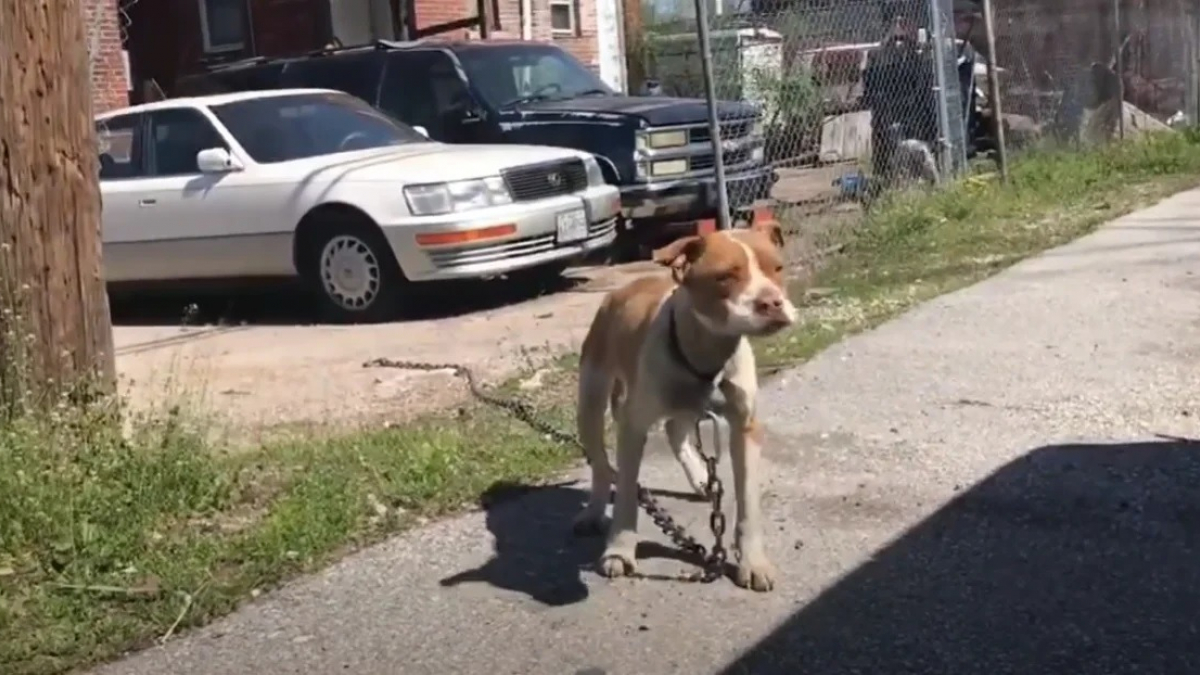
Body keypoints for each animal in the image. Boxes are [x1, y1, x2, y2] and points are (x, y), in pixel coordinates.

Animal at [571, 219, 796, 588]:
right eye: (724, 277)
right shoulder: (632, 428)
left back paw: (701, 478)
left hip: (688, 407)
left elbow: (748, 502)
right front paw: (619, 552)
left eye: (777, 268)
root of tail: (623, 288)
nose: (773, 303)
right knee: (602, 465)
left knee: (676, 432)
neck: (707, 349)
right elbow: (627, 497)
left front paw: (753, 562)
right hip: (590, 399)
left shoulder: (744, 427)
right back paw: (592, 511)